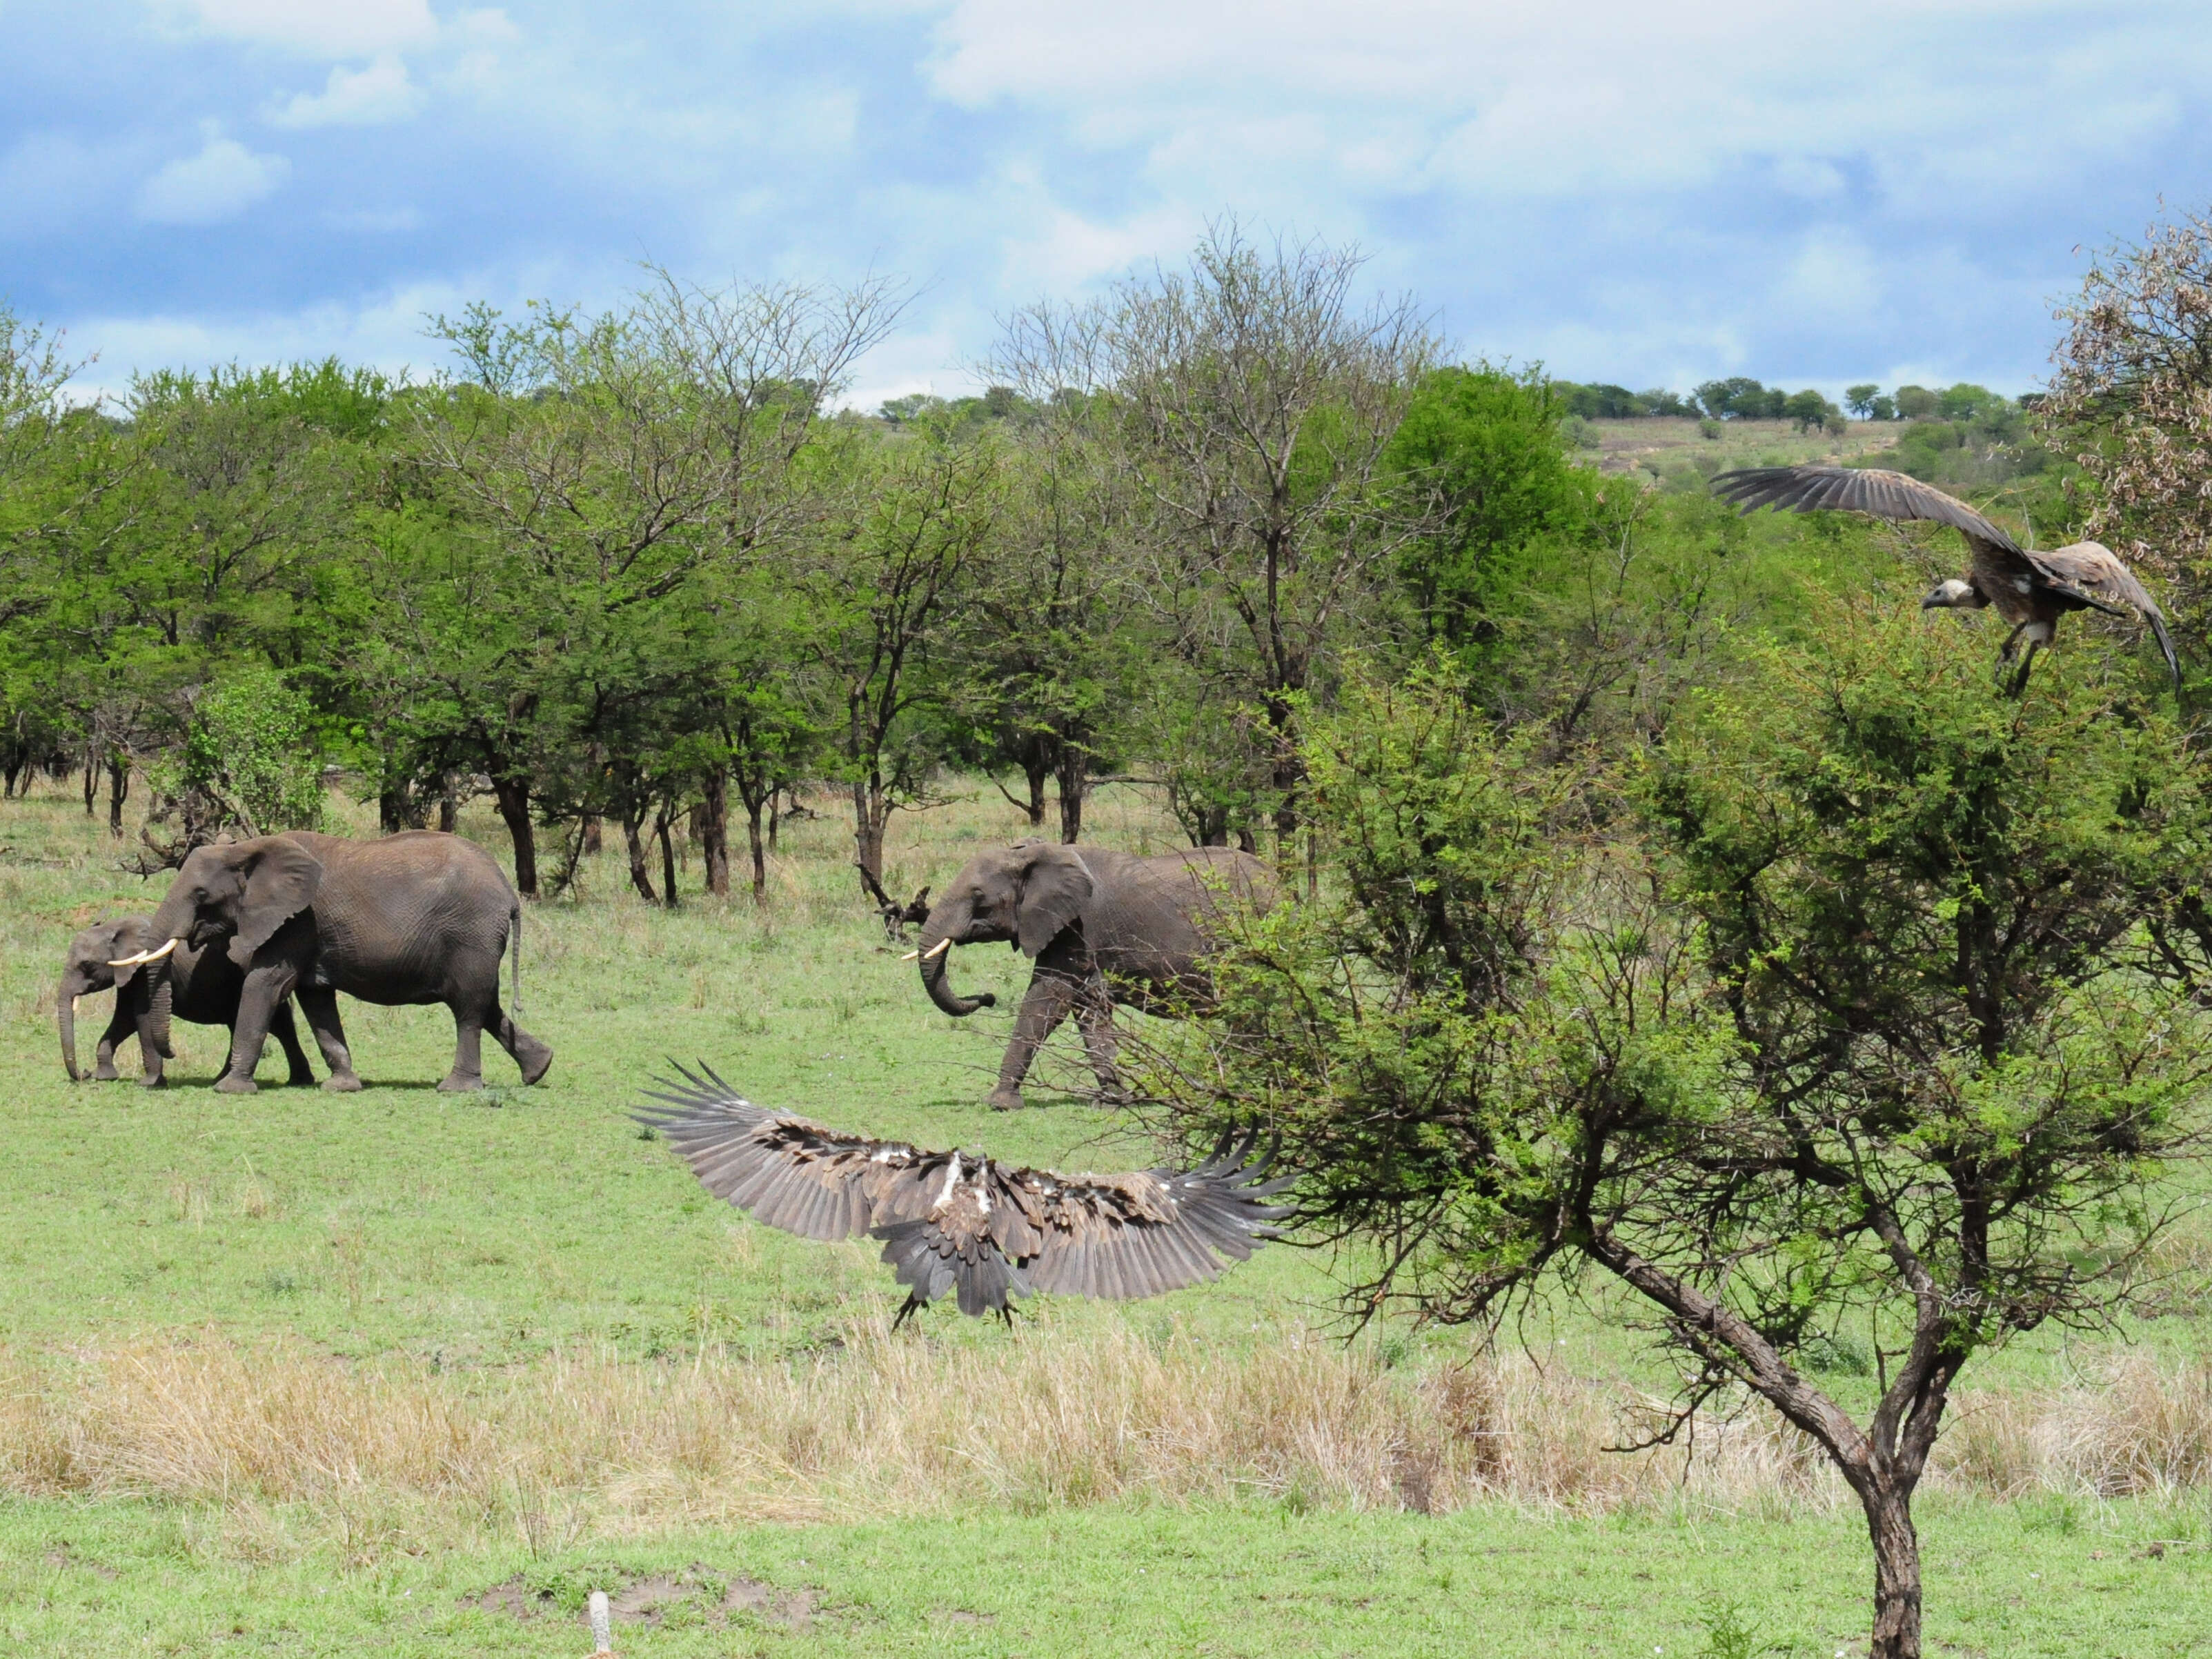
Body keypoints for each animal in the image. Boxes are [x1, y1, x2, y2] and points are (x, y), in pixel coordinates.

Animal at [59, 911, 316, 1093]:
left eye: (87, 965)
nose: (85, 1074)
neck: (115, 927)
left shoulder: (143, 972)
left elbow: (141, 1017)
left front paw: (150, 1084)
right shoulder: (129, 975)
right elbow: (124, 1020)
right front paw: (106, 1077)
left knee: (279, 1026)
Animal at [119, 827, 553, 1093]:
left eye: (201, 895)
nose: (170, 1059)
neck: (248, 849)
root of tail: (509, 893)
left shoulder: (296, 922)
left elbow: (263, 985)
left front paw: (228, 1088)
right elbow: (316, 1000)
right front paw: (342, 1086)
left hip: (470, 935)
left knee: (468, 1009)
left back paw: (456, 1088)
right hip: (478, 942)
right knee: (486, 1004)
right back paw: (539, 1069)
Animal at [907, 844, 1274, 1119]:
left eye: (978, 897)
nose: (989, 997)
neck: (1034, 853)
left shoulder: (1077, 926)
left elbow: (1046, 1001)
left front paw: (1000, 1104)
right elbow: (1089, 1009)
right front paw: (1113, 1102)